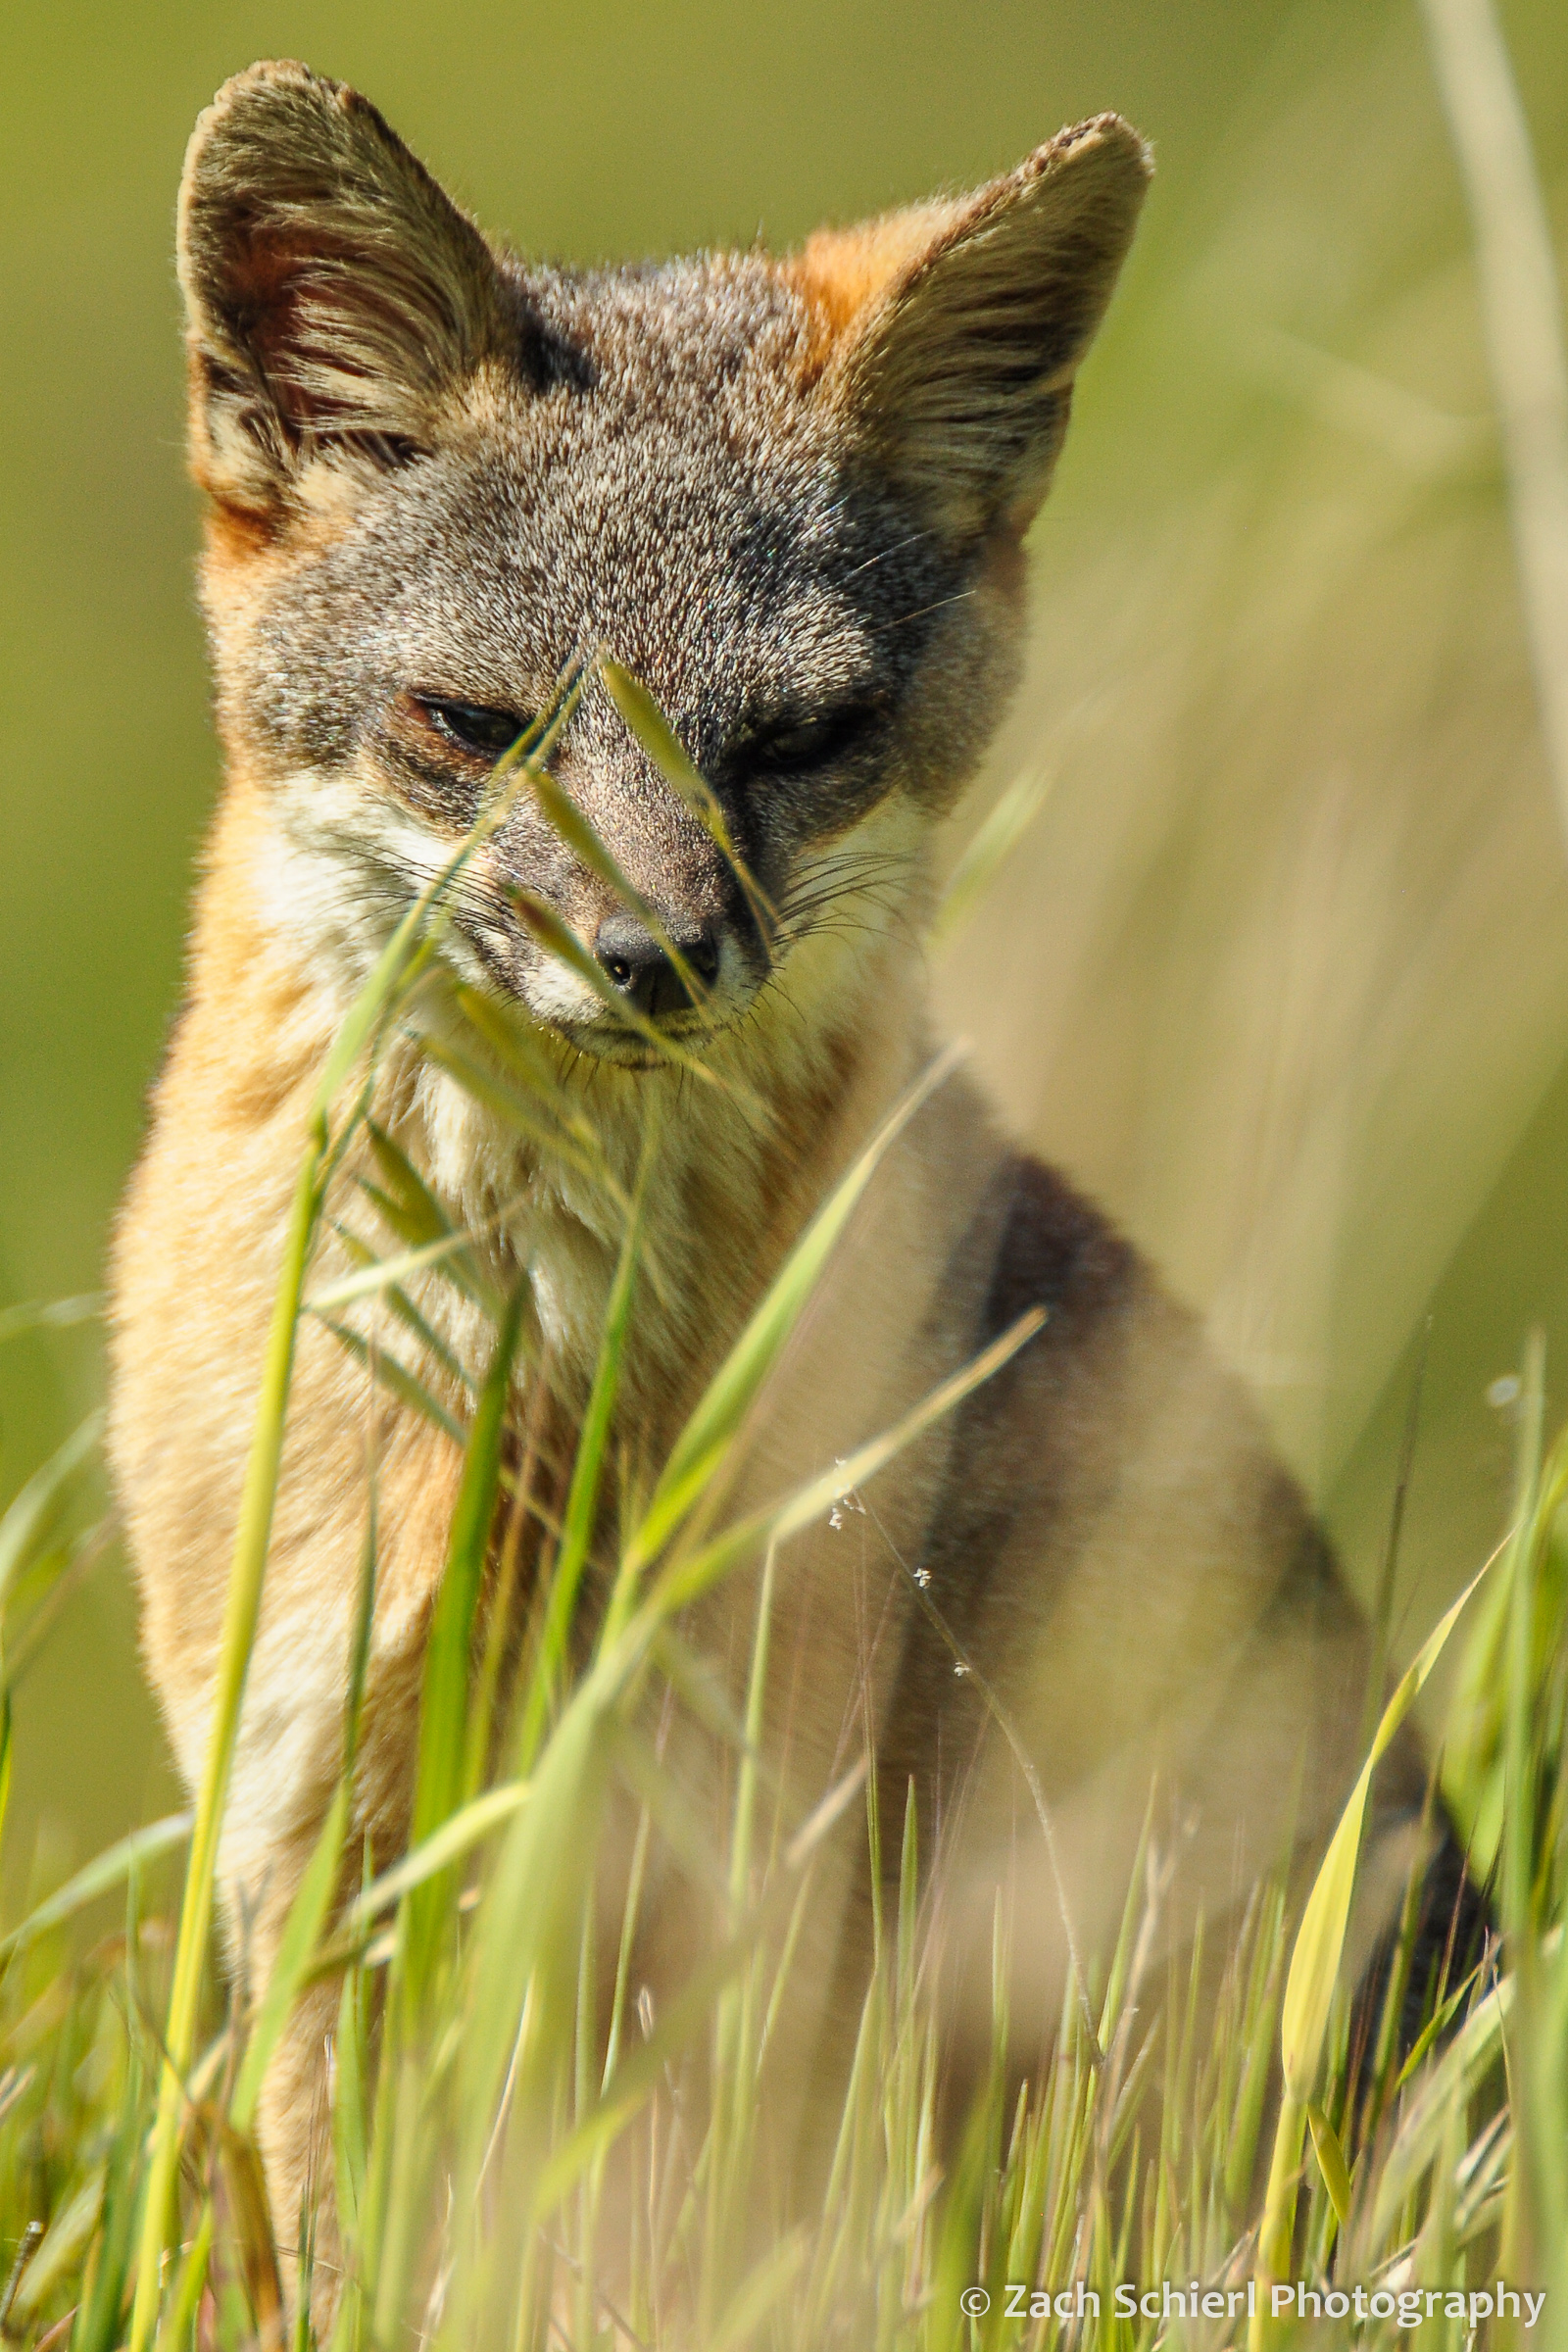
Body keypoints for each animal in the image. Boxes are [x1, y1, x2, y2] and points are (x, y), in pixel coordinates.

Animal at [109, 57, 1475, 2306]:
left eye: (801, 738)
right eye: (473, 726)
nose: (658, 955)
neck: (539, 1394)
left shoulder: (743, 1870)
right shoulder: (316, 1819)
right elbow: (361, 2241)